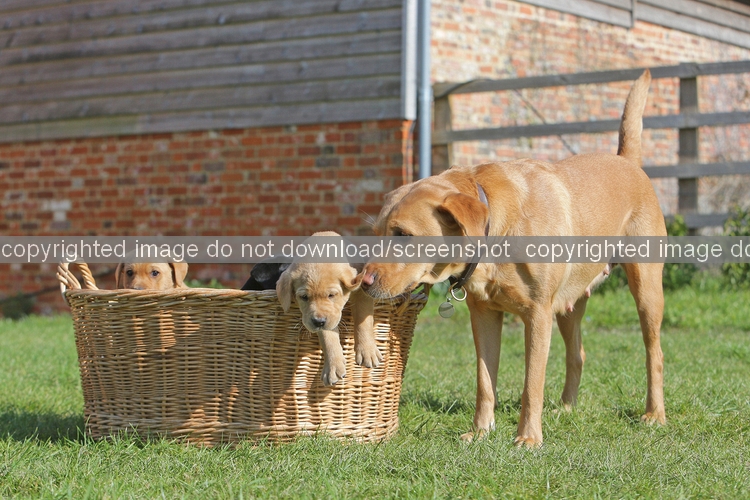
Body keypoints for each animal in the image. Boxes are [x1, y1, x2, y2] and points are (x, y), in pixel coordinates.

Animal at [276, 231, 381, 386]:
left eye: (331, 295)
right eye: (304, 297)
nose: (318, 322)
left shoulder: (362, 291)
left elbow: (363, 318)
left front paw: (367, 350)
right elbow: (328, 336)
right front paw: (333, 366)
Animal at [362, 70, 666, 447]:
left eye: (403, 235)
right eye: (376, 232)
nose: (364, 281)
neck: (495, 230)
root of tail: (627, 161)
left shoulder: (537, 315)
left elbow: (531, 384)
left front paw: (529, 438)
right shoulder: (484, 315)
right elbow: (484, 381)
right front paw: (480, 431)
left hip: (646, 289)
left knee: (655, 353)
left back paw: (654, 414)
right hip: (569, 303)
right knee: (577, 354)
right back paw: (566, 408)